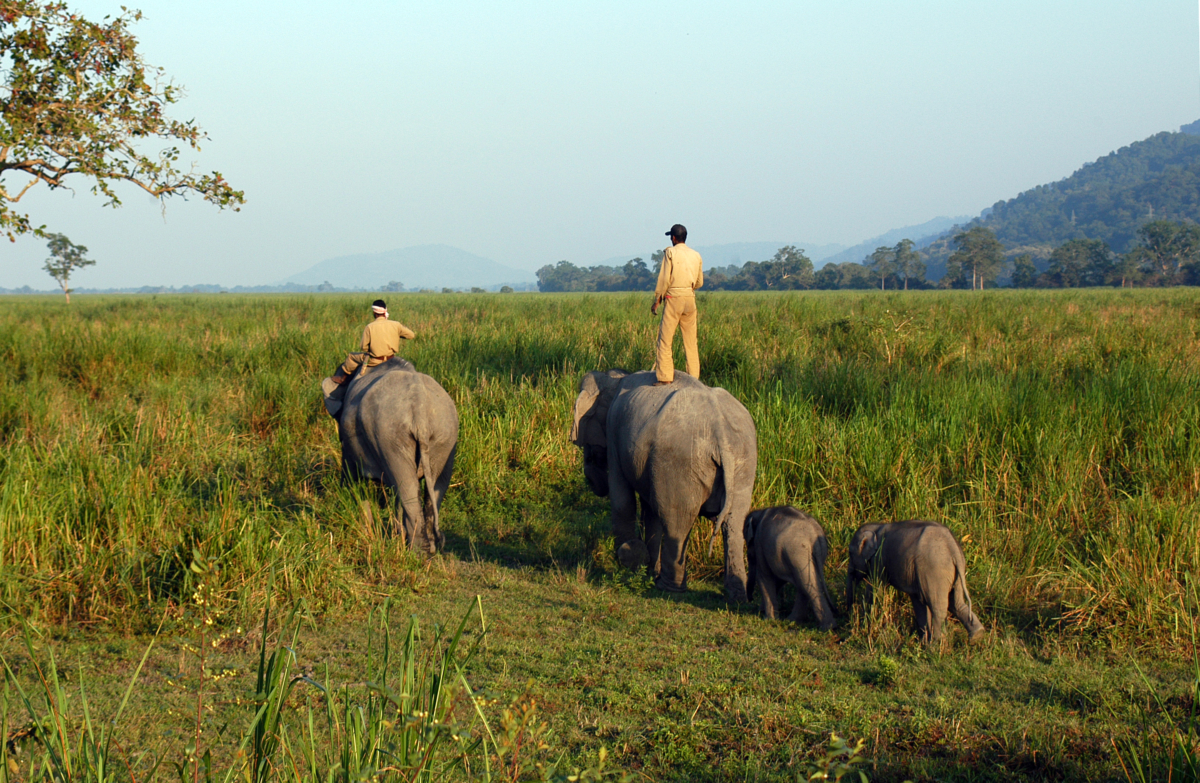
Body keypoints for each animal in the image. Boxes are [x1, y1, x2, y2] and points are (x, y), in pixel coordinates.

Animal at [321, 357, 456, 552]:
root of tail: (420, 409)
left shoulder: (350, 444)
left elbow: (353, 477)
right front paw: (394, 537)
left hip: (389, 436)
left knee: (407, 488)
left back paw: (418, 552)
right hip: (444, 436)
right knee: (436, 486)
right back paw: (431, 547)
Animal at [573, 369, 758, 602]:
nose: (591, 480)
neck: (614, 377)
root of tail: (721, 435)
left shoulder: (614, 430)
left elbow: (622, 499)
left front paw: (630, 564)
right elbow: (650, 510)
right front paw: (648, 570)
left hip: (679, 463)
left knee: (676, 521)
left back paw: (667, 588)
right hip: (744, 464)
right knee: (734, 524)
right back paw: (737, 597)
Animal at [844, 523, 984, 643]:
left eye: (850, 553)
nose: (849, 620)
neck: (876, 527)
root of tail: (952, 547)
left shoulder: (878, 560)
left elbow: (874, 591)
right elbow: (918, 603)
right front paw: (923, 642)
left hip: (934, 570)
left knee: (938, 607)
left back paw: (936, 645)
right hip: (953, 573)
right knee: (956, 603)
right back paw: (977, 635)